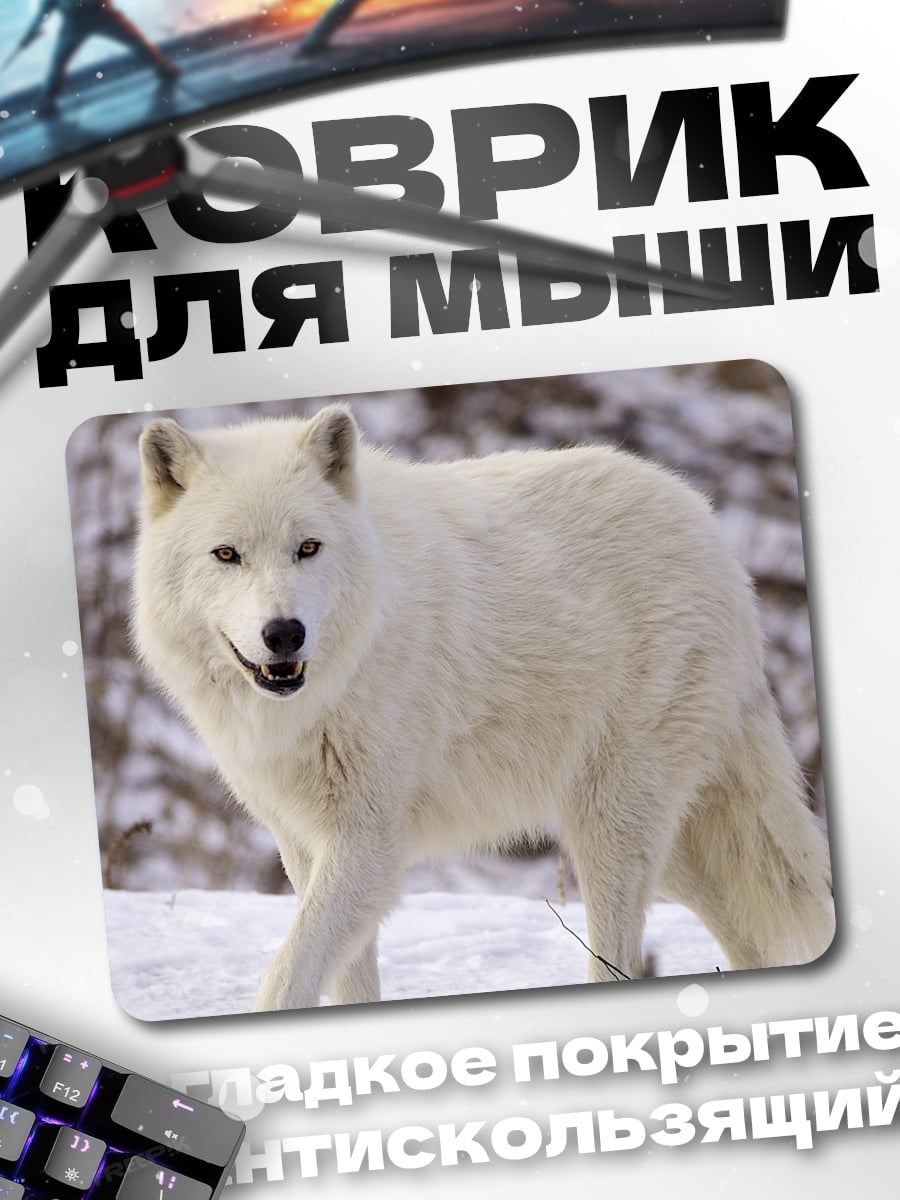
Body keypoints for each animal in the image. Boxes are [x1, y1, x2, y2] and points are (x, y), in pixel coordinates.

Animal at [133, 404, 834, 1010]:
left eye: (308, 547)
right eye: (227, 554)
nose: (284, 633)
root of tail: (712, 531)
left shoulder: (367, 844)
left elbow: (286, 974)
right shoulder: (304, 844)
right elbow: (346, 980)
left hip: (613, 829)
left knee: (619, 954)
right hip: (675, 851)